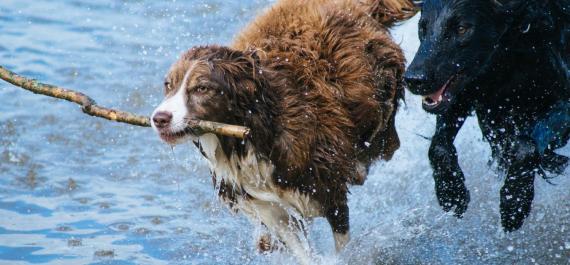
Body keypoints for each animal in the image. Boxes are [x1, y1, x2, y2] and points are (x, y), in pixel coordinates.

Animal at [151, 0, 414, 260]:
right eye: (168, 85)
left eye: (202, 88)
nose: (159, 118)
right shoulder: (265, 203)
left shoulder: (328, 187)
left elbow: (341, 241)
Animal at [402, 0, 564, 230]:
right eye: (422, 27)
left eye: (462, 28)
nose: (414, 79)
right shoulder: (468, 92)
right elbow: (438, 146)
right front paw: (451, 193)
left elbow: (526, 146)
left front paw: (514, 202)